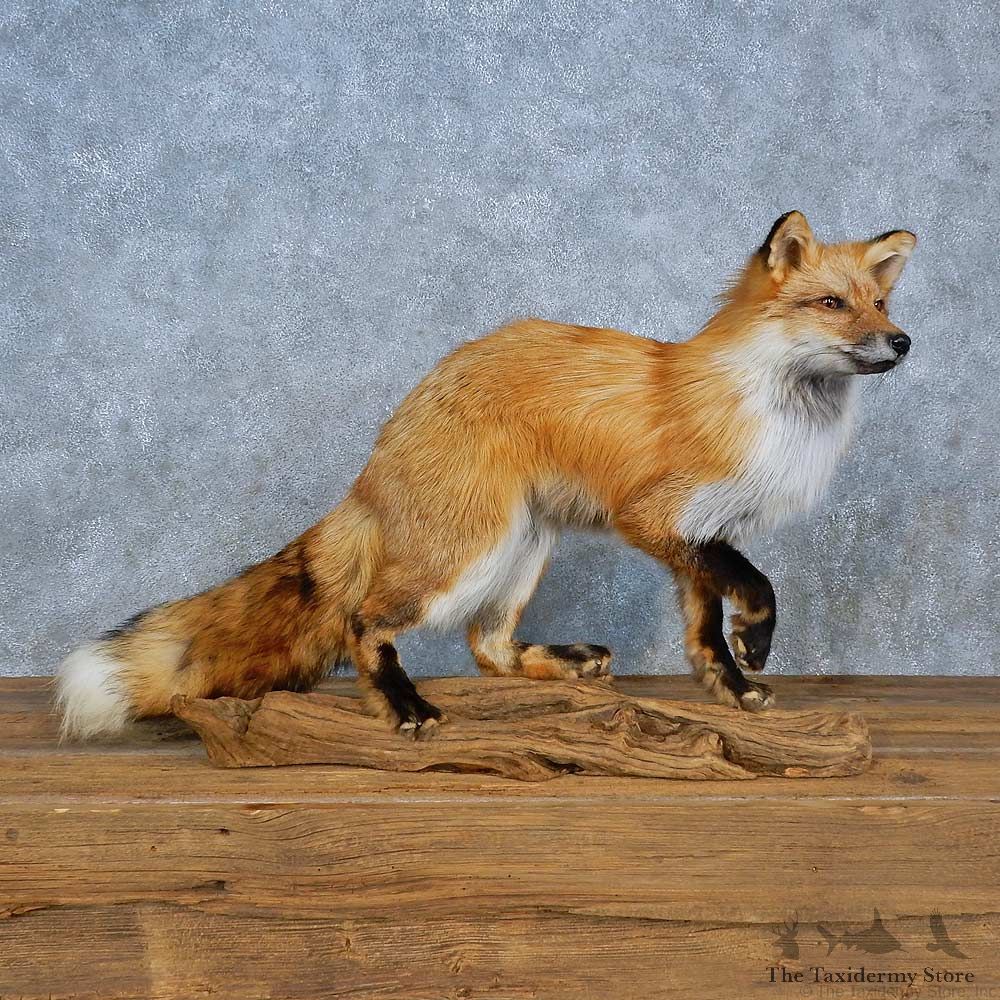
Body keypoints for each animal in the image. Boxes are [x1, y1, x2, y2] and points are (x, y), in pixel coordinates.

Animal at [56, 211, 917, 739]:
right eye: (832, 304)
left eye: (880, 302)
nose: (904, 342)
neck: (768, 409)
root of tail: (395, 427)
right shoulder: (656, 517)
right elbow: (757, 584)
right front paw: (757, 643)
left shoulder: (699, 534)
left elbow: (706, 629)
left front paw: (734, 685)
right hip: (467, 553)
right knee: (364, 622)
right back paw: (404, 705)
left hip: (525, 548)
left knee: (488, 648)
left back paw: (560, 663)